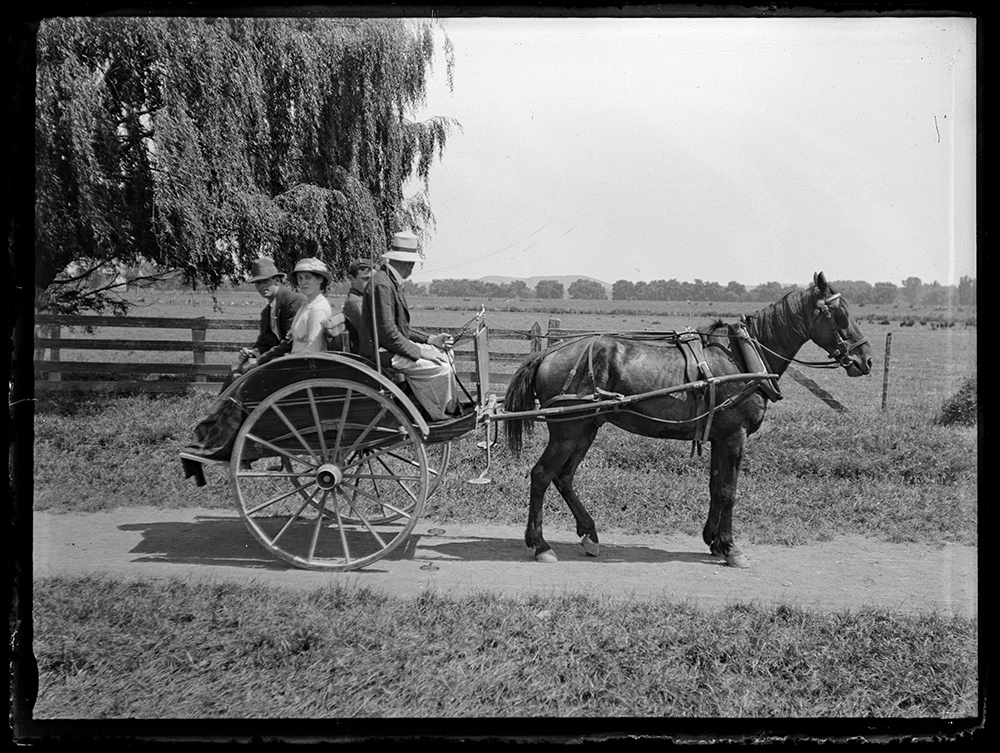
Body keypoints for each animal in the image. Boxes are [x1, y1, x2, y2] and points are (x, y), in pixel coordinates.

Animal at [504, 274, 872, 568]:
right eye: (840, 313)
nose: (865, 359)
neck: (741, 358)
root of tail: (549, 353)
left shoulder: (719, 437)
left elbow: (714, 486)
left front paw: (714, 541)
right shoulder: (734, 435)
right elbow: (728, 491)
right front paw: (731, 548)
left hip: (587, 428)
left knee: (563, 477)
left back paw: (589, 534)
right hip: (567, 430)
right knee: (542, 475)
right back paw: (540, 544)